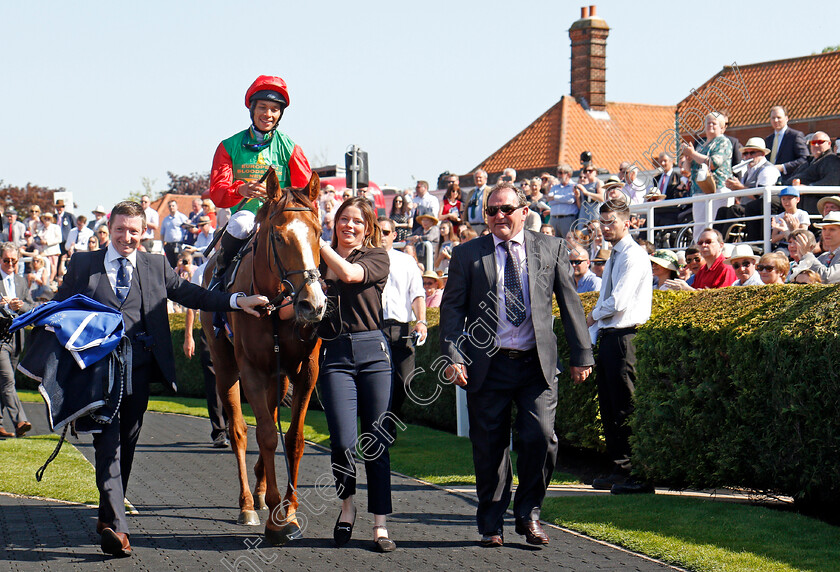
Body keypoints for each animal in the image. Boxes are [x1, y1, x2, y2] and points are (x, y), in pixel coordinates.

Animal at [202, 169, 326, 544]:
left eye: (318, 232)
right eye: (279, 236)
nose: (313, 304)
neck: (276, 307)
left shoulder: (306, 370)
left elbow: (294, 439)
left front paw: (291, 512)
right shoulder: (252, 370)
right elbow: (266, 436)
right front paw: (274, 519)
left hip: (278, 375)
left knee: (268, 415)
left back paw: (258, 488)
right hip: (225, 367)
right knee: (240, 430)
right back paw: (247, 503)